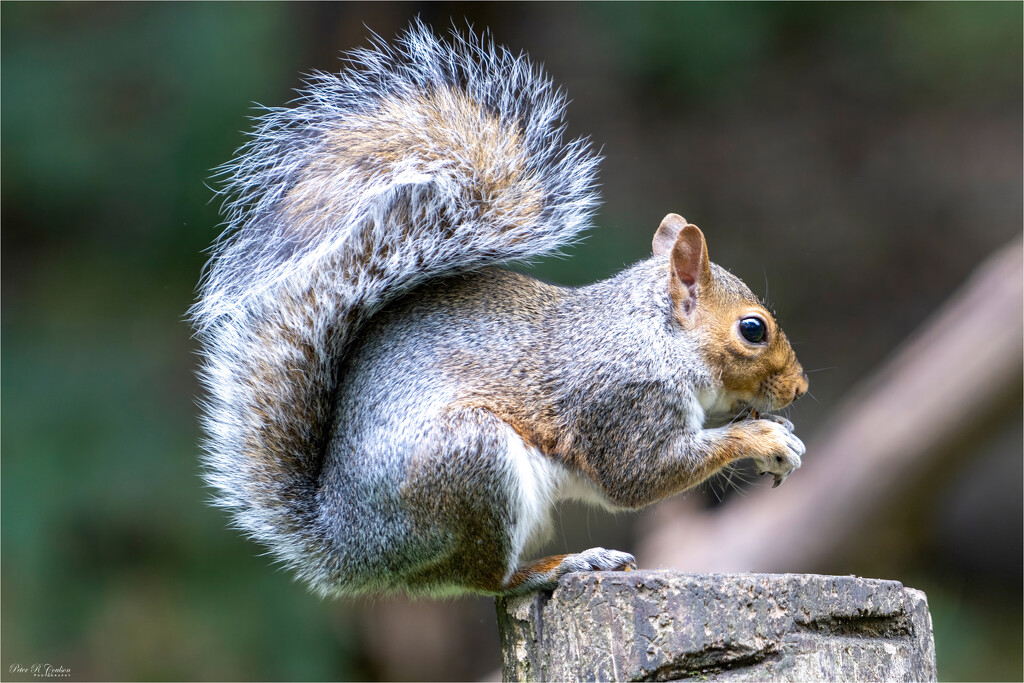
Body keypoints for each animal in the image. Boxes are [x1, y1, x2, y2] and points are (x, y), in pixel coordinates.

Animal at [192, 21, 806, 598]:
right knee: (485, 577)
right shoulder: (622, 402)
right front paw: (764, 438)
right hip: (474, 463)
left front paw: (776, 431)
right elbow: (639, 478)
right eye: (753, 329)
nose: (799, 389)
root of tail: (349, 546)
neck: (655, 335)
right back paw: (561, 565)